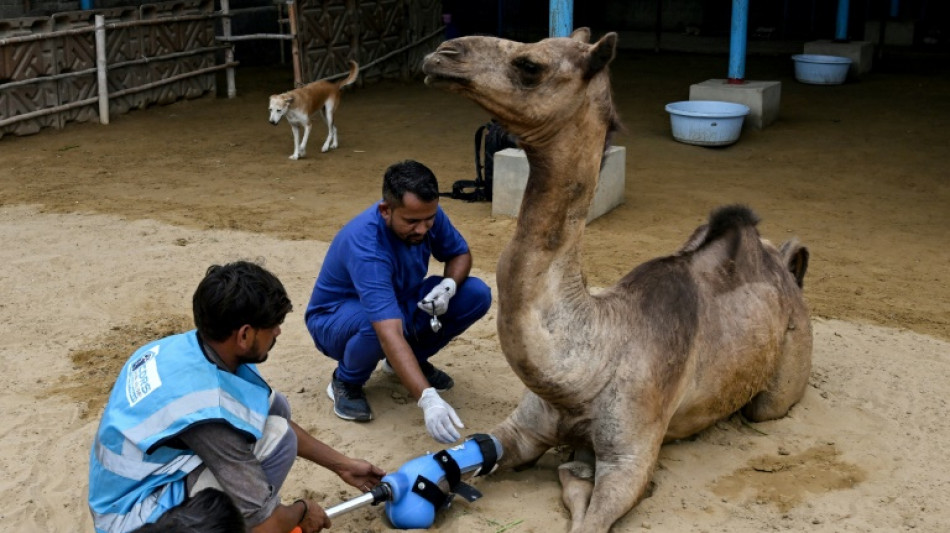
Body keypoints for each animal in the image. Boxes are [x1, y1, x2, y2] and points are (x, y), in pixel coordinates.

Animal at [422, 29, 813, 532]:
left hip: (783, 375)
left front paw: (579, 471)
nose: (442, 54)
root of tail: (786, 266)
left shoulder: (631, 457)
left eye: (530, 65)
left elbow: (592, 517)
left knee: (767, 407)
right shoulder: (523, 427)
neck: (590, 364)